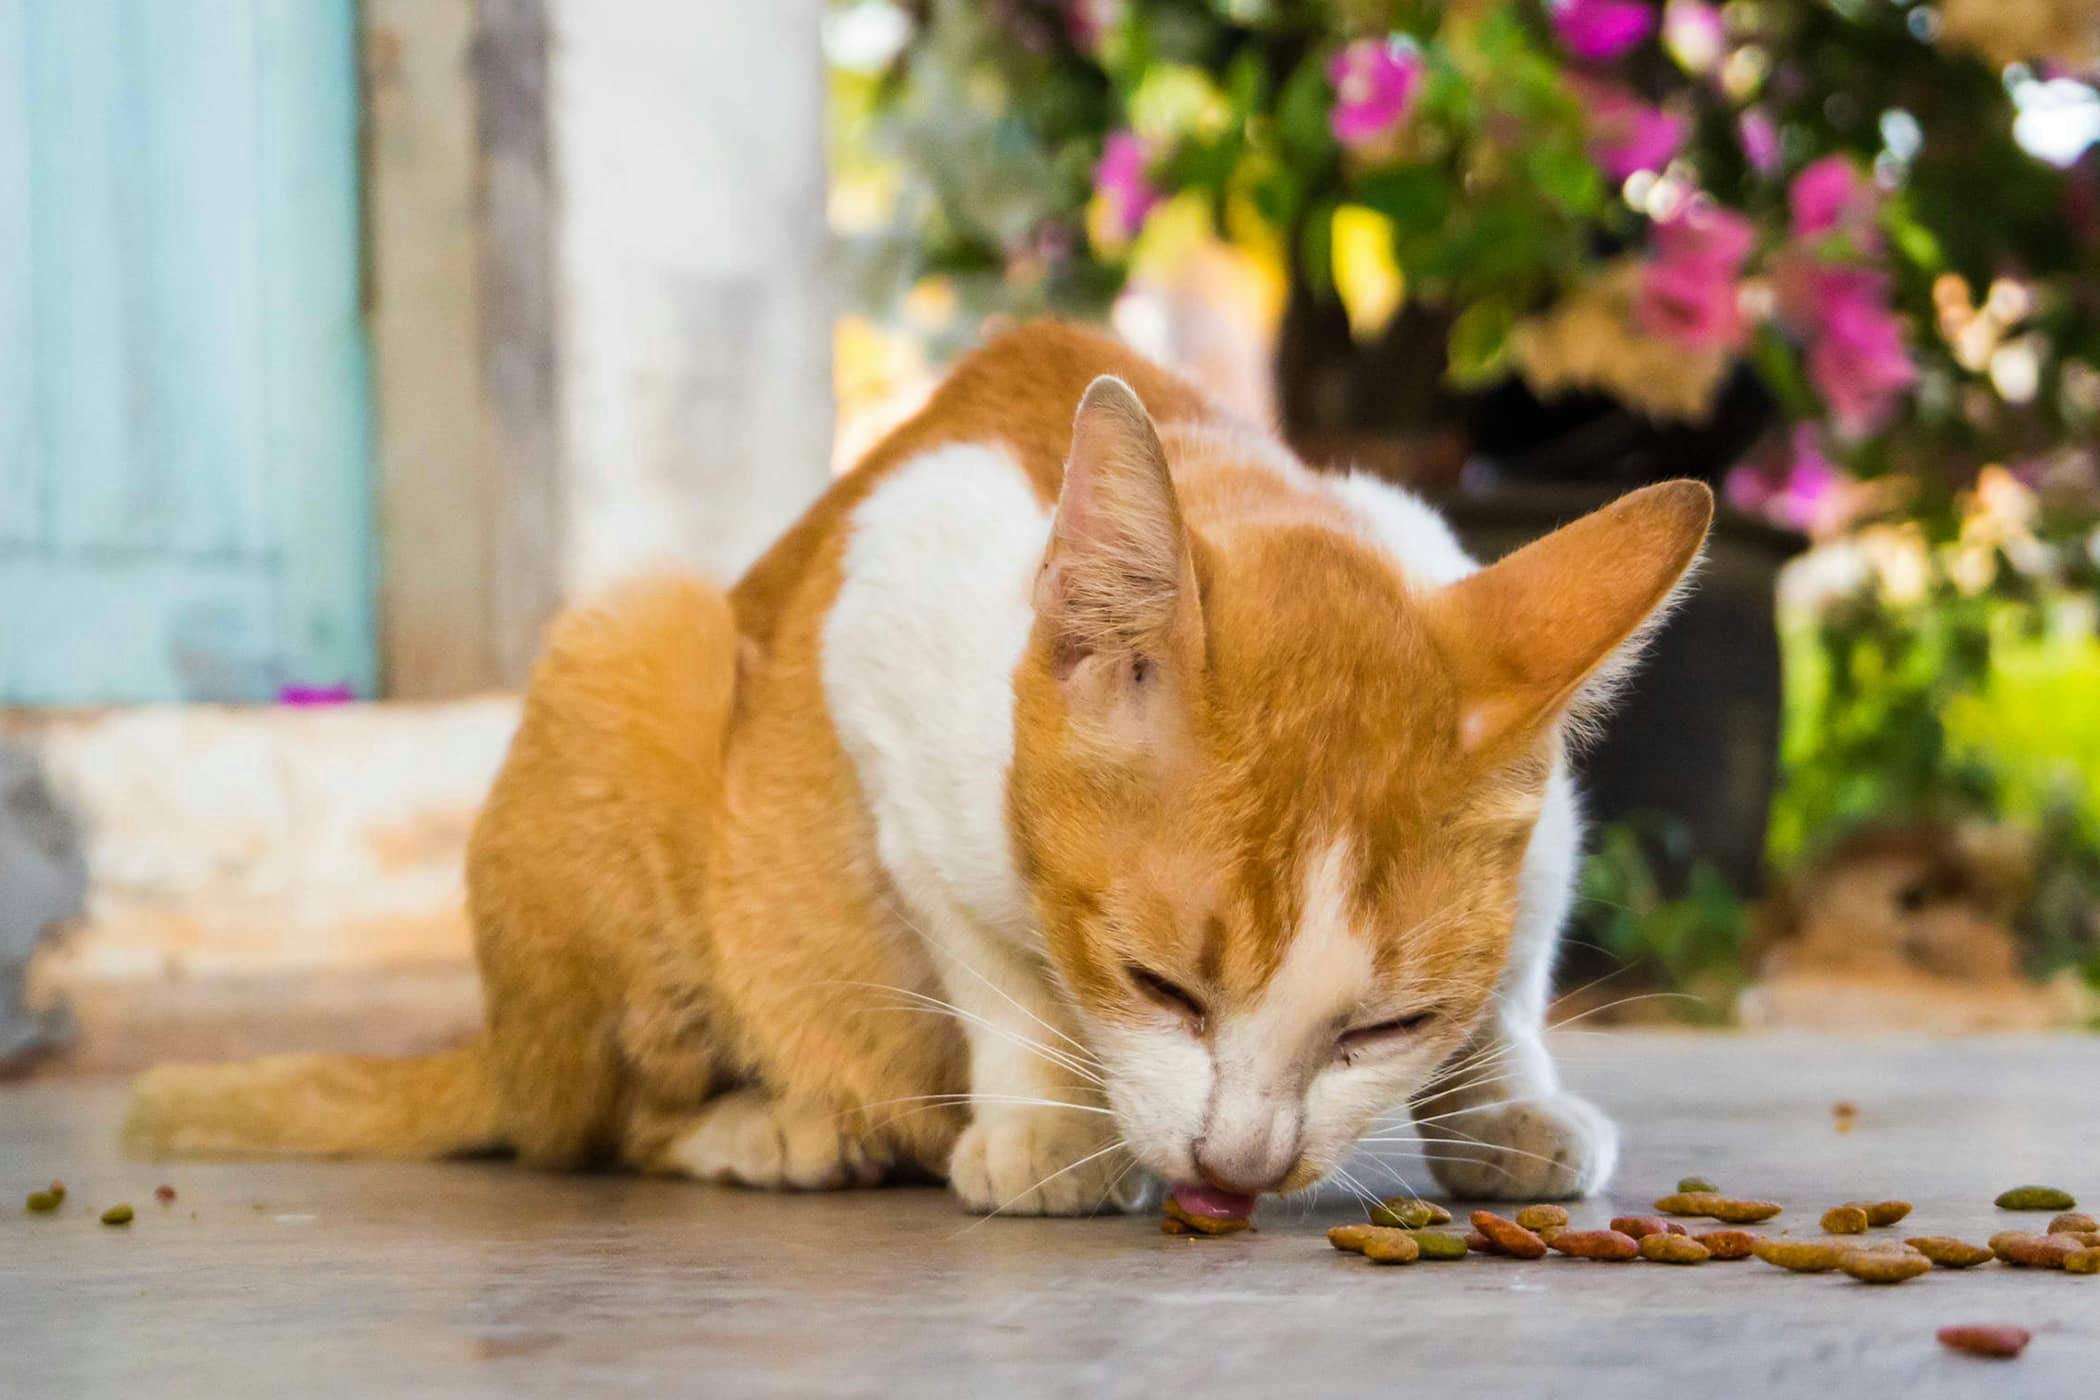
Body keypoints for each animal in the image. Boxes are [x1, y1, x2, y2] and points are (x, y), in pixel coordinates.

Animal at [127, 325, 1705, 1217]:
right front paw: (1049, 1124)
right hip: (642, 643)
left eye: (1381, 1026)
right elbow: (990, 953)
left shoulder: (1550, 827)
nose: (1243, 1165)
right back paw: (777, 1126)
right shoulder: (879, 626)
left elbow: (1511, 970)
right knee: (590, 1125)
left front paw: (1503, 1100)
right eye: (1160, 988)